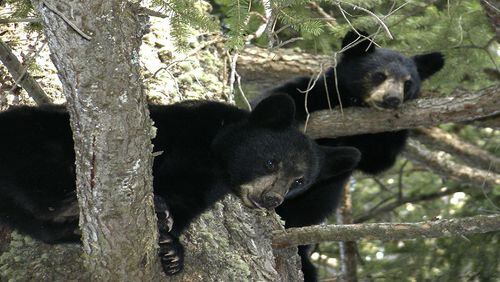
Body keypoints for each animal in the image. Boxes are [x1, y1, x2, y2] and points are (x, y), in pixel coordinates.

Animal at [0, 94, 362, 276]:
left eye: (299, 181)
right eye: (271, 162)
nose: (272, 198)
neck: (216, 155)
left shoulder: (203, 186)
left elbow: (184, 203)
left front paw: (172, 250)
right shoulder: (184, 133)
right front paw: (162, 217)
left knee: (43, 226)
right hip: (38, 139)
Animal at [254, 29, 446, 280]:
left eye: (408, 83)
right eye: (379, 75)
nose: (392, 100)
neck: (353, 102)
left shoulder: (369, 144)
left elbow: (379, 160)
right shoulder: (317, 91)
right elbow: (277, 100)